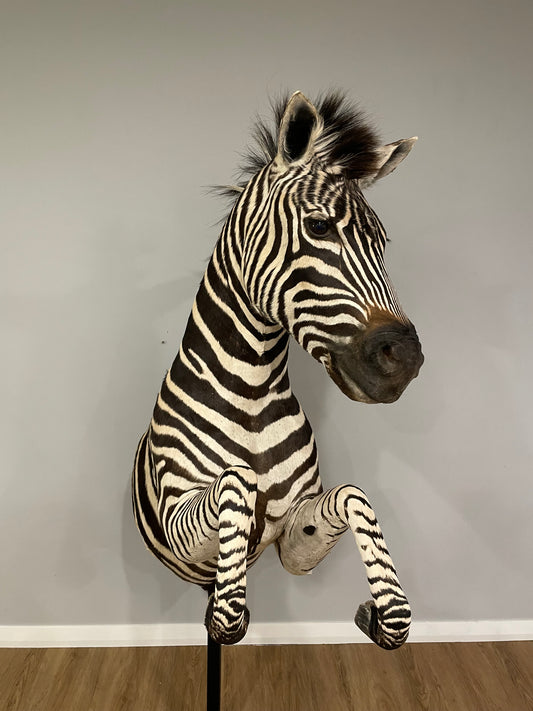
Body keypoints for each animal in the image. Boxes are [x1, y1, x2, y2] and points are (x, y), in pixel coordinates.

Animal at [132, 91, 423, 648]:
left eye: (383, 242)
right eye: (319, 227)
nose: (405, 360)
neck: (250, 394)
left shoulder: (294, 539)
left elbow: (355, 496)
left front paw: (376, 612)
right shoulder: (181, 521)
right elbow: (237, 486)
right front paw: (229, 609)